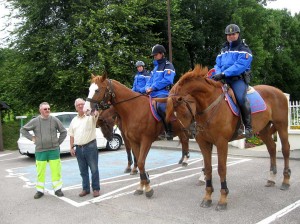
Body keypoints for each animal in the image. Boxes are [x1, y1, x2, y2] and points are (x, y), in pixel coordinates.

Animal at [166, 64, 290, 210]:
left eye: (182, 111)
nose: (189, 133)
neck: (210, 106)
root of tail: (279, 92)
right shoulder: (204, 142)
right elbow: (208, 168)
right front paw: (207, 197)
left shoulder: (221, 142)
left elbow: (221, 168)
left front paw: (223, 199)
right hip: (263, 131)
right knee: (272, 148)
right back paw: (271, 178)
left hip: (281, 126)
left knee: (285, 149)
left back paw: (286, 181)